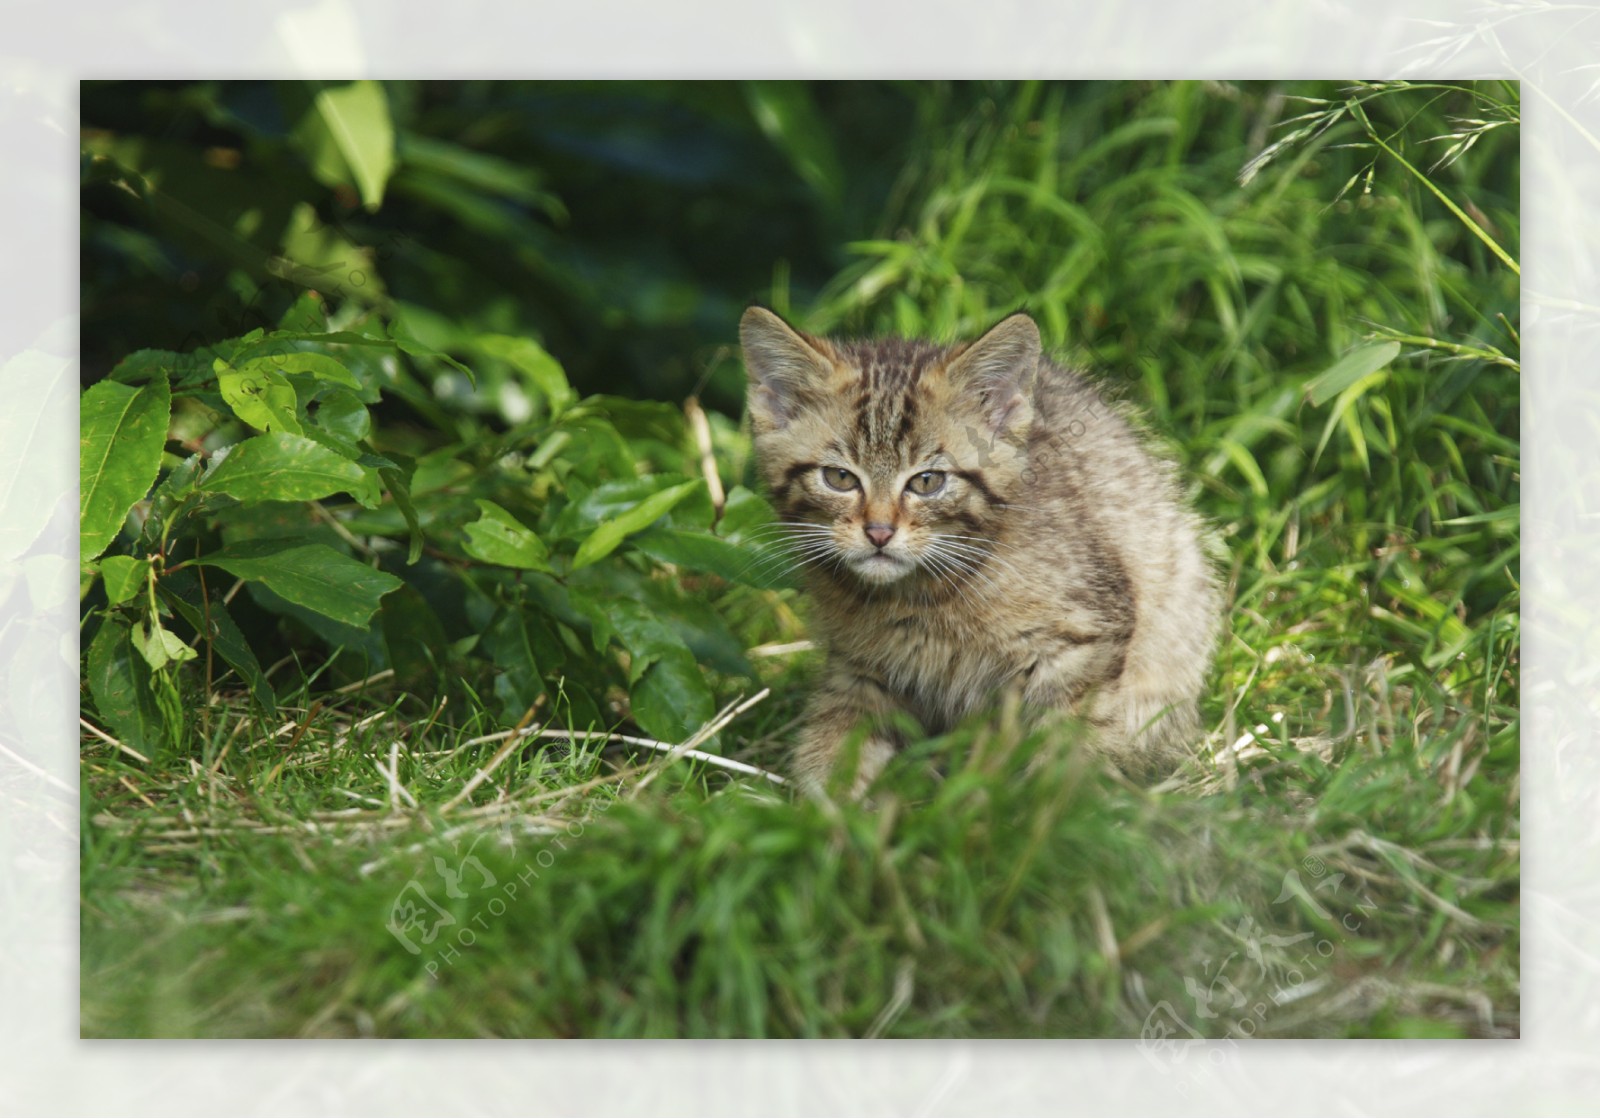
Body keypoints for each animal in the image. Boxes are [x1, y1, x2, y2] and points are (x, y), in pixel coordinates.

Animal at [739, 305, 1222, 797]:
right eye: (839, 478)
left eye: (927, 481)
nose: (878, 532)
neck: (922, 595)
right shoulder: (858, 667)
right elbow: (838, 737)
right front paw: (824, 804)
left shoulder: (1085, 637)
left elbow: (1070, 740)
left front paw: (1053, 807)